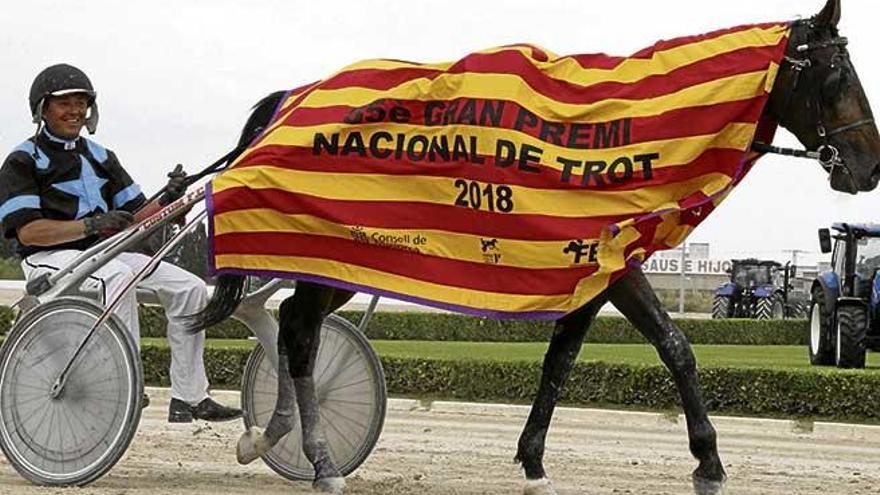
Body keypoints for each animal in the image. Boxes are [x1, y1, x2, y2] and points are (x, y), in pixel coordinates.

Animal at [187, 1, 880, 494]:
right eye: (838, 72)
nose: (870, 167)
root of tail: (295, 96)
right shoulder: (615, 259)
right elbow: (676, 347)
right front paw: (708, 460)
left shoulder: (587, 267)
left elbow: (560, 361)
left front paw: (533, 460)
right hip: (332, 251)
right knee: (299, 332)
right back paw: (320, 457)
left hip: (344, 256)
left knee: (288, 323)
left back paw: (272, 436)